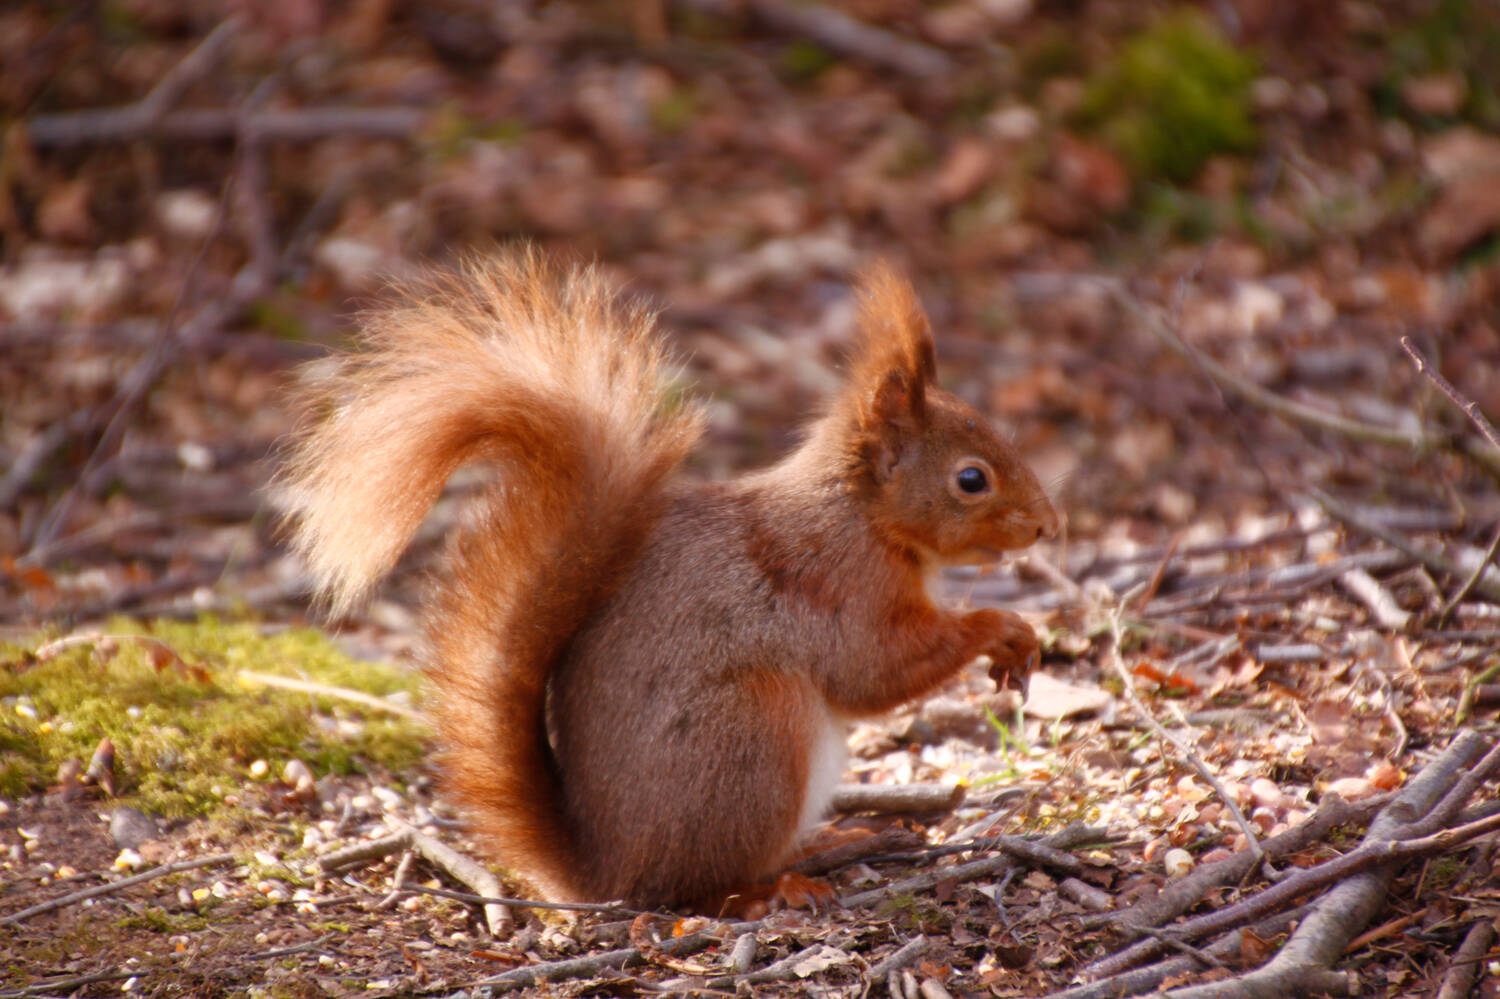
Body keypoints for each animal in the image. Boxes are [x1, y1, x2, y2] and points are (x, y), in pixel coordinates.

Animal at [282, 247, 1056, 900]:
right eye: (971, 479)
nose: (1048, 525)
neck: (863, 515)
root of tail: (611, 871)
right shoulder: (836, 583)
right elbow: (875, 670)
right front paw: (1004, 628)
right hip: (752, 732)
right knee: (710, 886)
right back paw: (774, 887)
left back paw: (829, 841)